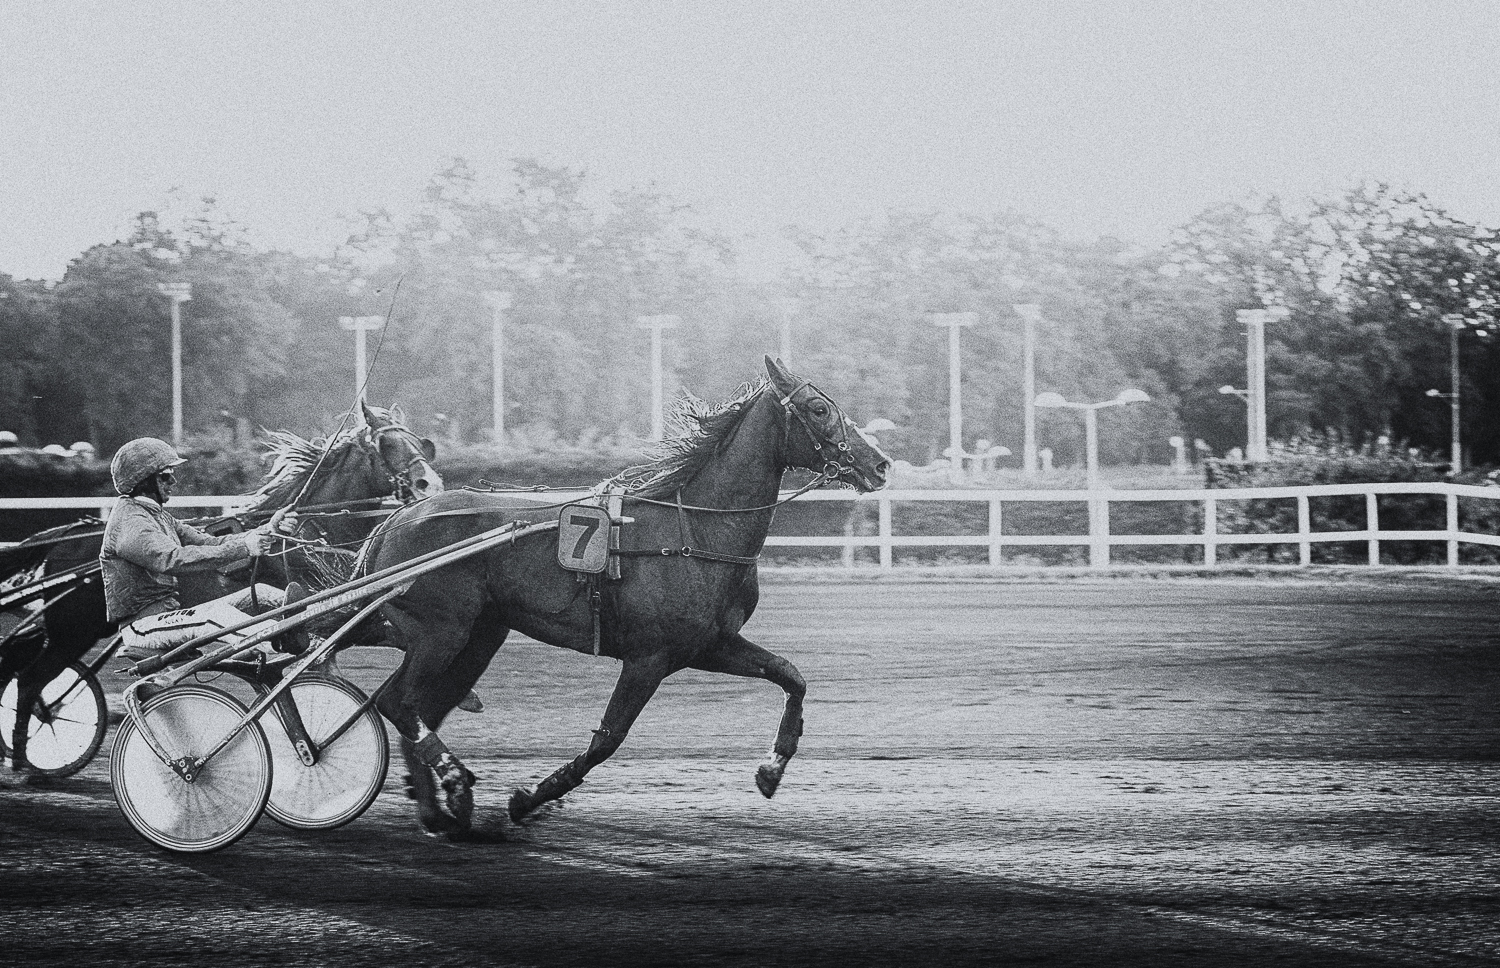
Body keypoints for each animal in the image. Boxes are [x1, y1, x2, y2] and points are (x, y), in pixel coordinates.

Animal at [0, 403, 442, 773]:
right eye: (385, 444)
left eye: (418, 440)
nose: (429, 484)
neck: (307, 534)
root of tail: (65, 536)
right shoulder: (335, 616)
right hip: (73, 632)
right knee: (32, 679)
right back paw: (24, 755)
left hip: (67, 629)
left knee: (21, 662)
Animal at [361, 357, 891, 836]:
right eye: (818, 408)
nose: (881, 464)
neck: (694, 530)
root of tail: (401, 518)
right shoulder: (648, 657)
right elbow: (607, 740)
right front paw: (528, 799)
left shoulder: (708, 645)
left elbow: (791, 675)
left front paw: (771, 768)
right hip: (441, 632)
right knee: (398, 702)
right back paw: (456, 788)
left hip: (478, 636)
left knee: (416, 706)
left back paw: (438, 811)